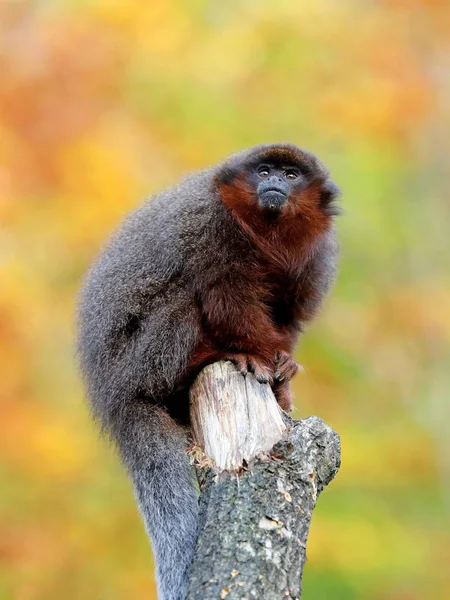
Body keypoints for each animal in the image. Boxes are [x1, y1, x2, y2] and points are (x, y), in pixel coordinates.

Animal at [77, 143, 340, 596]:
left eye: (290, 176)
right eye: (264, 171)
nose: (273, 182)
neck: (267, 234)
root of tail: (112, 394)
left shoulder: (314, 254)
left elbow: (287, 316)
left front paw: (283, 372)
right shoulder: (211, 227)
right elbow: (227, 298)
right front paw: (258, 354)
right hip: (141, 359)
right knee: (188, 293)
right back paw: (208, 357)